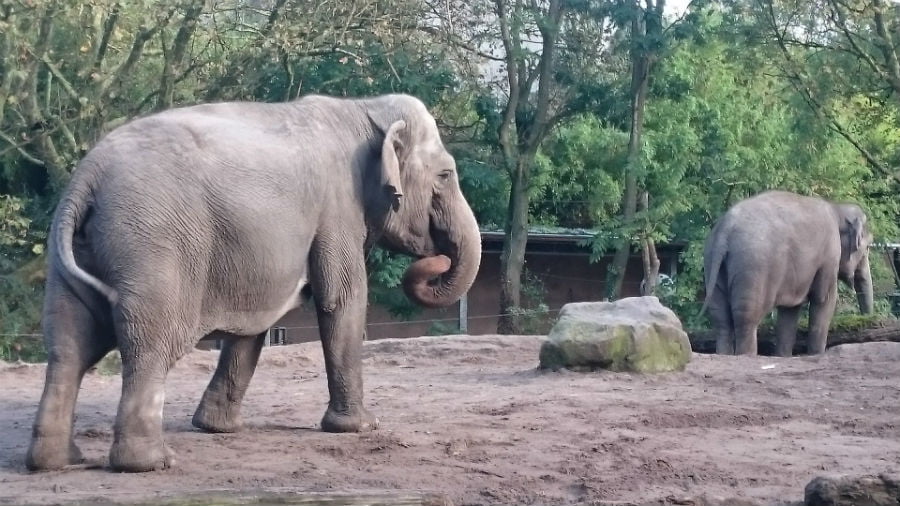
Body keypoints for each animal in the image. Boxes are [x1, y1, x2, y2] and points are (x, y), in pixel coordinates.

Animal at [24, 93, 482, 472]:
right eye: (445, 175)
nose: (436, 258)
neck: (364, 108)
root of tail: (87, 177)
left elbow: (256, 322)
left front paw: (216, 428)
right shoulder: (338, 206)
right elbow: (343, 299)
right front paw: (361, 427)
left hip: (77, 254)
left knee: (69, 346)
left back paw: (57, 462)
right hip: (153, 244)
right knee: (148, 344)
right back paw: (151, 463)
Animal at [704, 190, 872, 356]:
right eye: (868, 247)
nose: (867, 320)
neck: (836, 208)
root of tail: (725, 230)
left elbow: (790, 311)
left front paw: (783, 355)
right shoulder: (829, 256)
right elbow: (824, 299)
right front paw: (816, 354)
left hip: (712, 261)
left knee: (721, 319)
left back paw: (723, 354)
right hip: (752, 268)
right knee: (746, 318)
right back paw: (747, 355)